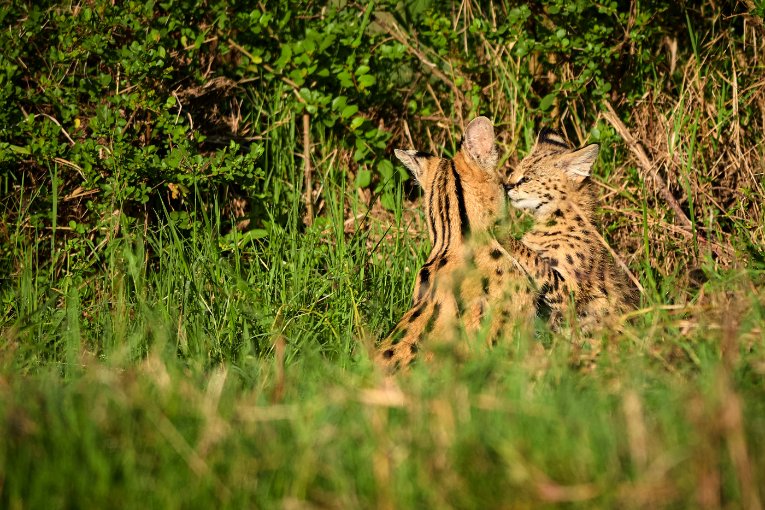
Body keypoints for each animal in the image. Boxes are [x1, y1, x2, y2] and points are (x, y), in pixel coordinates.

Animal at [502, 129, 640, 328]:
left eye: (526, 178)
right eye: (514, 172)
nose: (506, 186)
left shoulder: (569, 294)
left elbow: (534, 259)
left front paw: (503, 235)